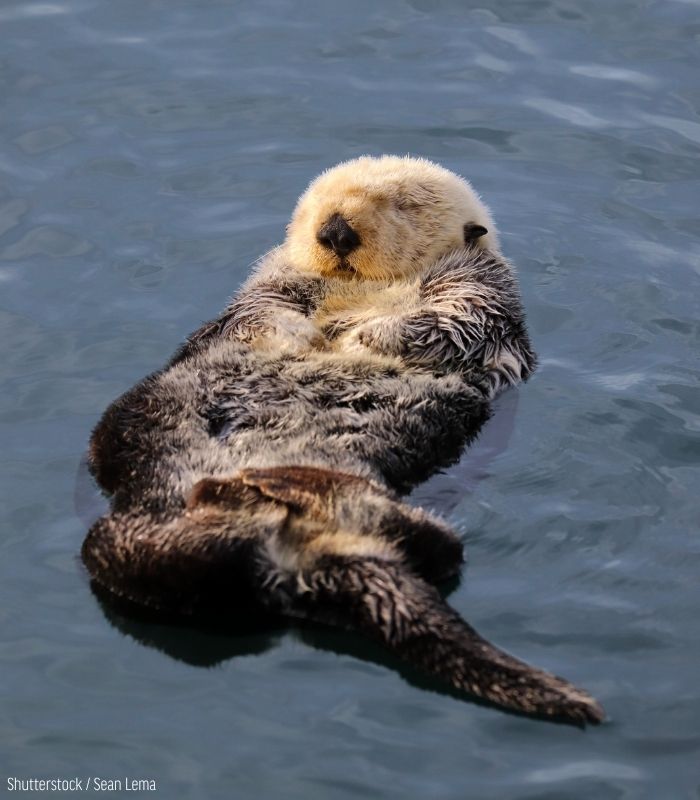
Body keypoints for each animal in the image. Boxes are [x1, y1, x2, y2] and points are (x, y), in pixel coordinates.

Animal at [83, 156, 603, 725]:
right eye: (318, 203)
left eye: (403, 205)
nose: (335, 230)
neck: (372, 288)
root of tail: (291, 563)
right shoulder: (274, 282)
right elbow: (258, 311)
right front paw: (303, 334)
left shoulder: (482, 289)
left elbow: (453, 320)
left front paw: (363, 334)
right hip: (130, 460)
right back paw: (260, 486)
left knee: (441, 548)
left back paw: (287, 482)